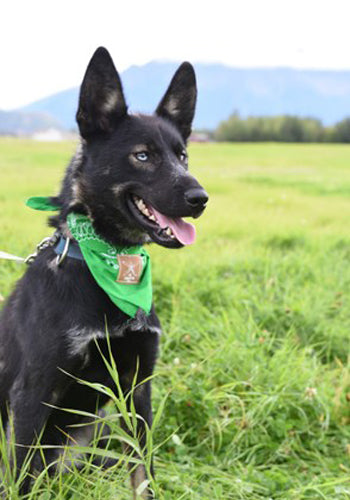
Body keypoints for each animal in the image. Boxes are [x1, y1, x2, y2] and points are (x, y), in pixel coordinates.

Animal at [0, 46, 208, 496]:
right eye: (143, 155)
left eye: (182, 155)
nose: (201, 198)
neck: (113, 264)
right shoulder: (33, 393)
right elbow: (20, 480)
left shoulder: (138, 389)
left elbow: (144, 473)